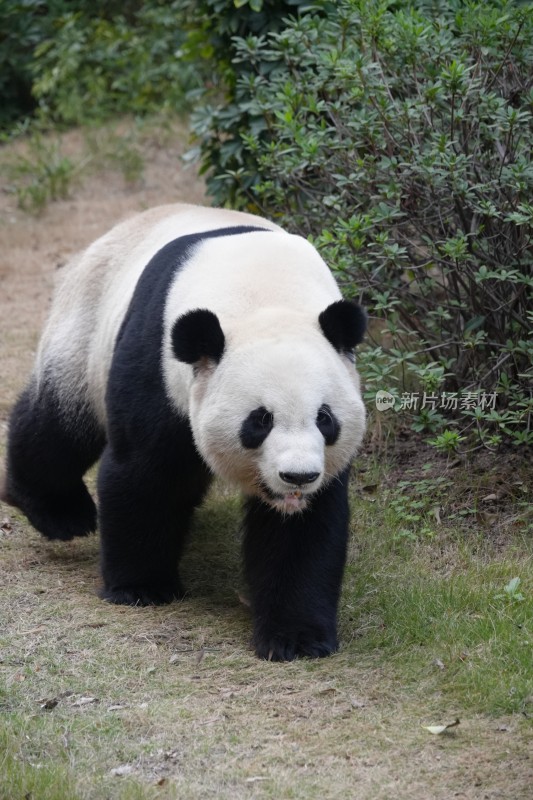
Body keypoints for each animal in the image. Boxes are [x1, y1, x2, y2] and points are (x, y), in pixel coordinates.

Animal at [2, 203, 366, 660]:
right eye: (259, 420)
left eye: (325, 419)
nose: (297, 477)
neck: (265, 293)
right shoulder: (158, 360)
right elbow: (145, 473)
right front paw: (141, 587)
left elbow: (305, 530)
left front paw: (297, 638)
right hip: (86, 327)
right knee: (59, 425)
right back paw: (58, 512)